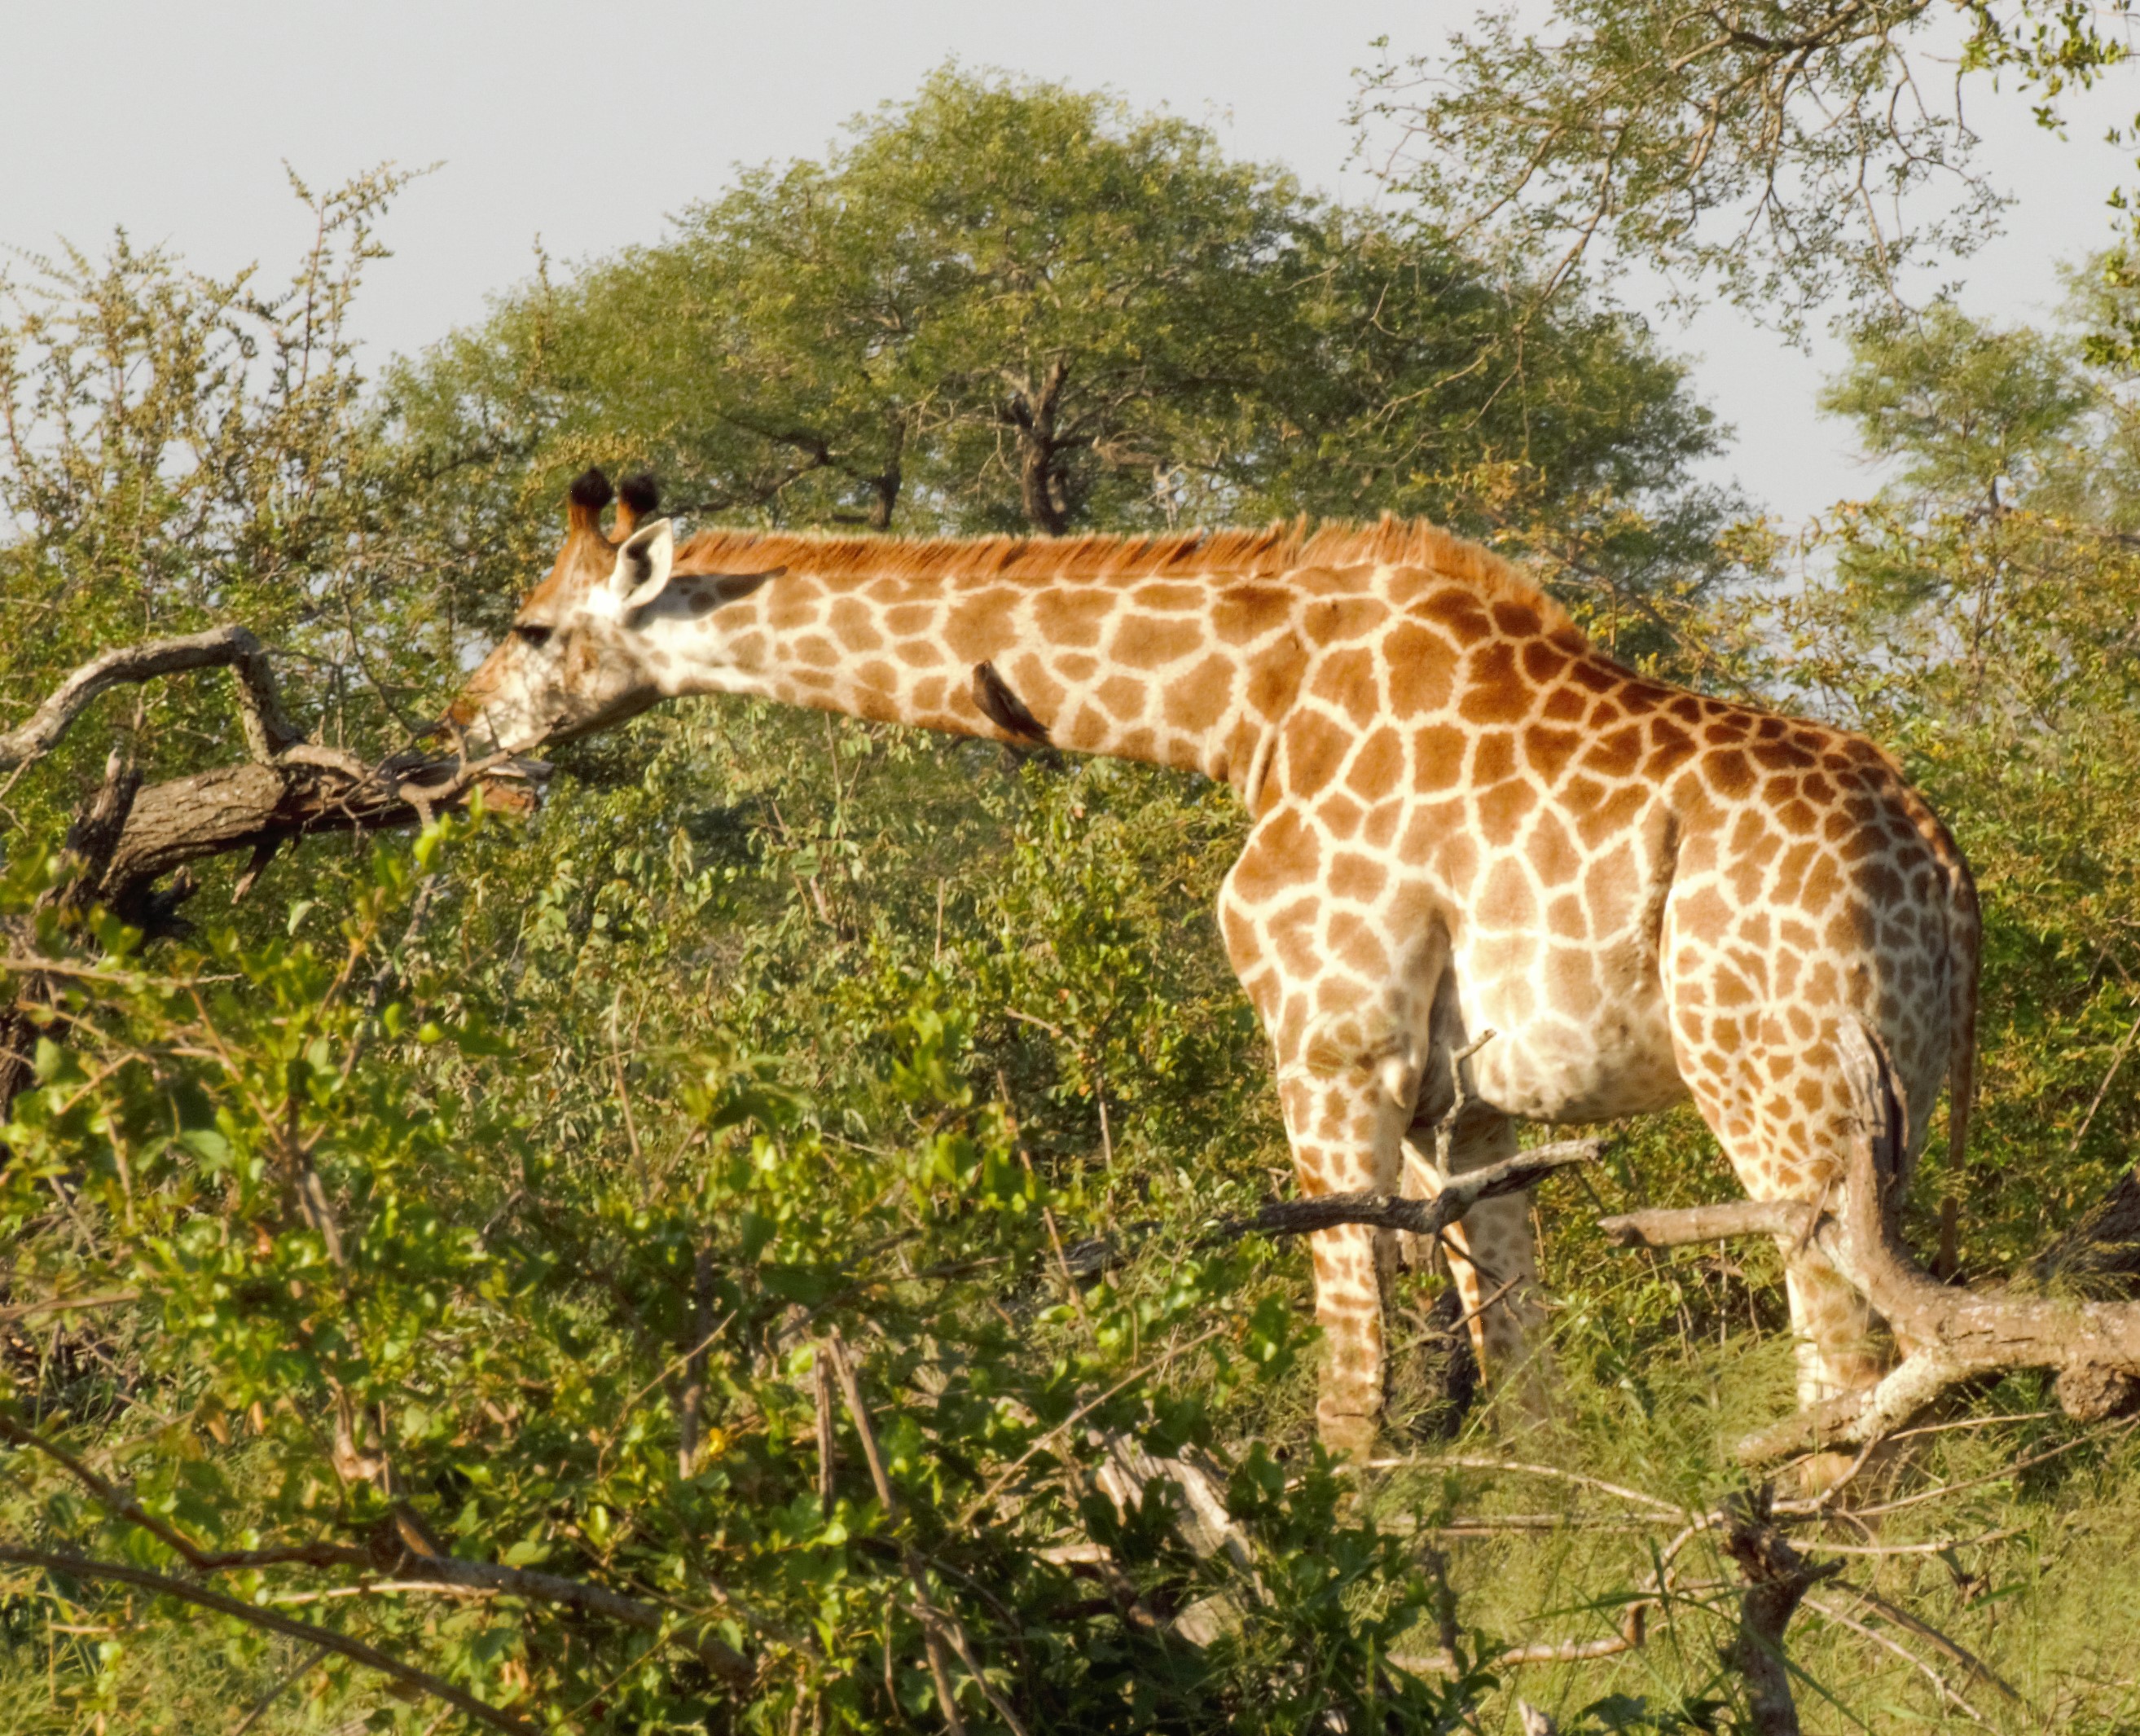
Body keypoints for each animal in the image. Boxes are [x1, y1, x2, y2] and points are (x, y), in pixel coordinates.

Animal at [449, 470, 1979, 1456]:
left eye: (530, 627)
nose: (463, 732)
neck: (1241, 708)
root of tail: (1938, 872)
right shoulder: (1467, 1108)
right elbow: (1525, 1386)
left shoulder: (1329, 1046)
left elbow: (1351, 1384)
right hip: (1895, 1106)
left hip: (1771, 1086)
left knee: (1848, 1352)